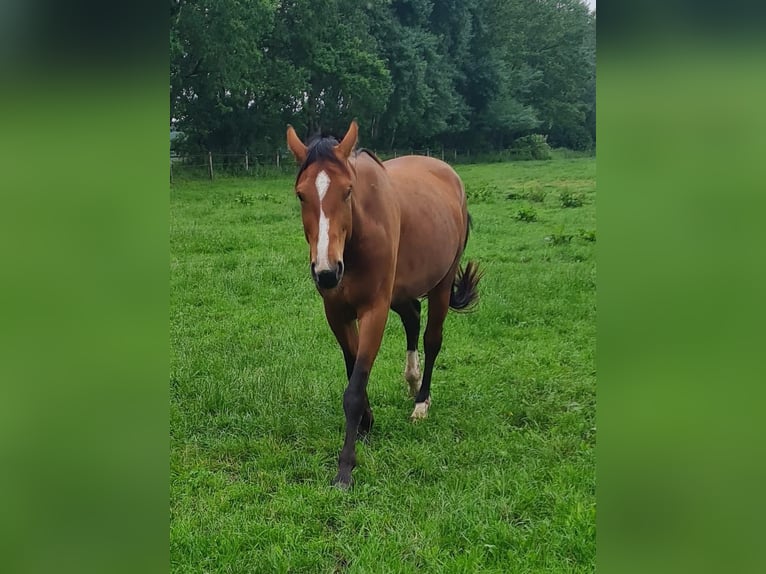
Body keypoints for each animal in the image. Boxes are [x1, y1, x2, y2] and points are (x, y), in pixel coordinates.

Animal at [286, 120, 481, 487]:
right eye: (301, 194)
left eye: (347, 191)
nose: (326, 272)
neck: (357, 237)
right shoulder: (337, 313)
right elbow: (353, 370)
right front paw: (366, 424)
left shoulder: (374, 310)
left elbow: (354, 387)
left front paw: (345, 468)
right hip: (401, 292)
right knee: (413, 318)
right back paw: (413, 380)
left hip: (441, 283)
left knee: (432, 339)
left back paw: (421, 401)